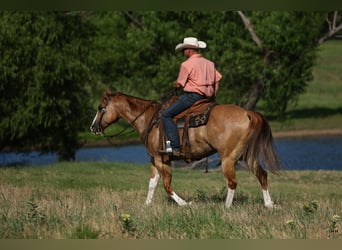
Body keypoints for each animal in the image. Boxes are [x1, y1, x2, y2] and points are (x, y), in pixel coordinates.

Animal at [89, 91, 282, 208]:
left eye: (100, 108)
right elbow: (152, 184)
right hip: (246, 156)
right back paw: (269, 204)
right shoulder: (154, 160)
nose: (93, 128)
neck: (149, 119)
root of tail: (248, 113)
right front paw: (147, 205)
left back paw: (226, 207)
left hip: (228, 158)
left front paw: (184, 204)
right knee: (261, 174)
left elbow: (167, 186)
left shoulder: (161, 160)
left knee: (232, 182)